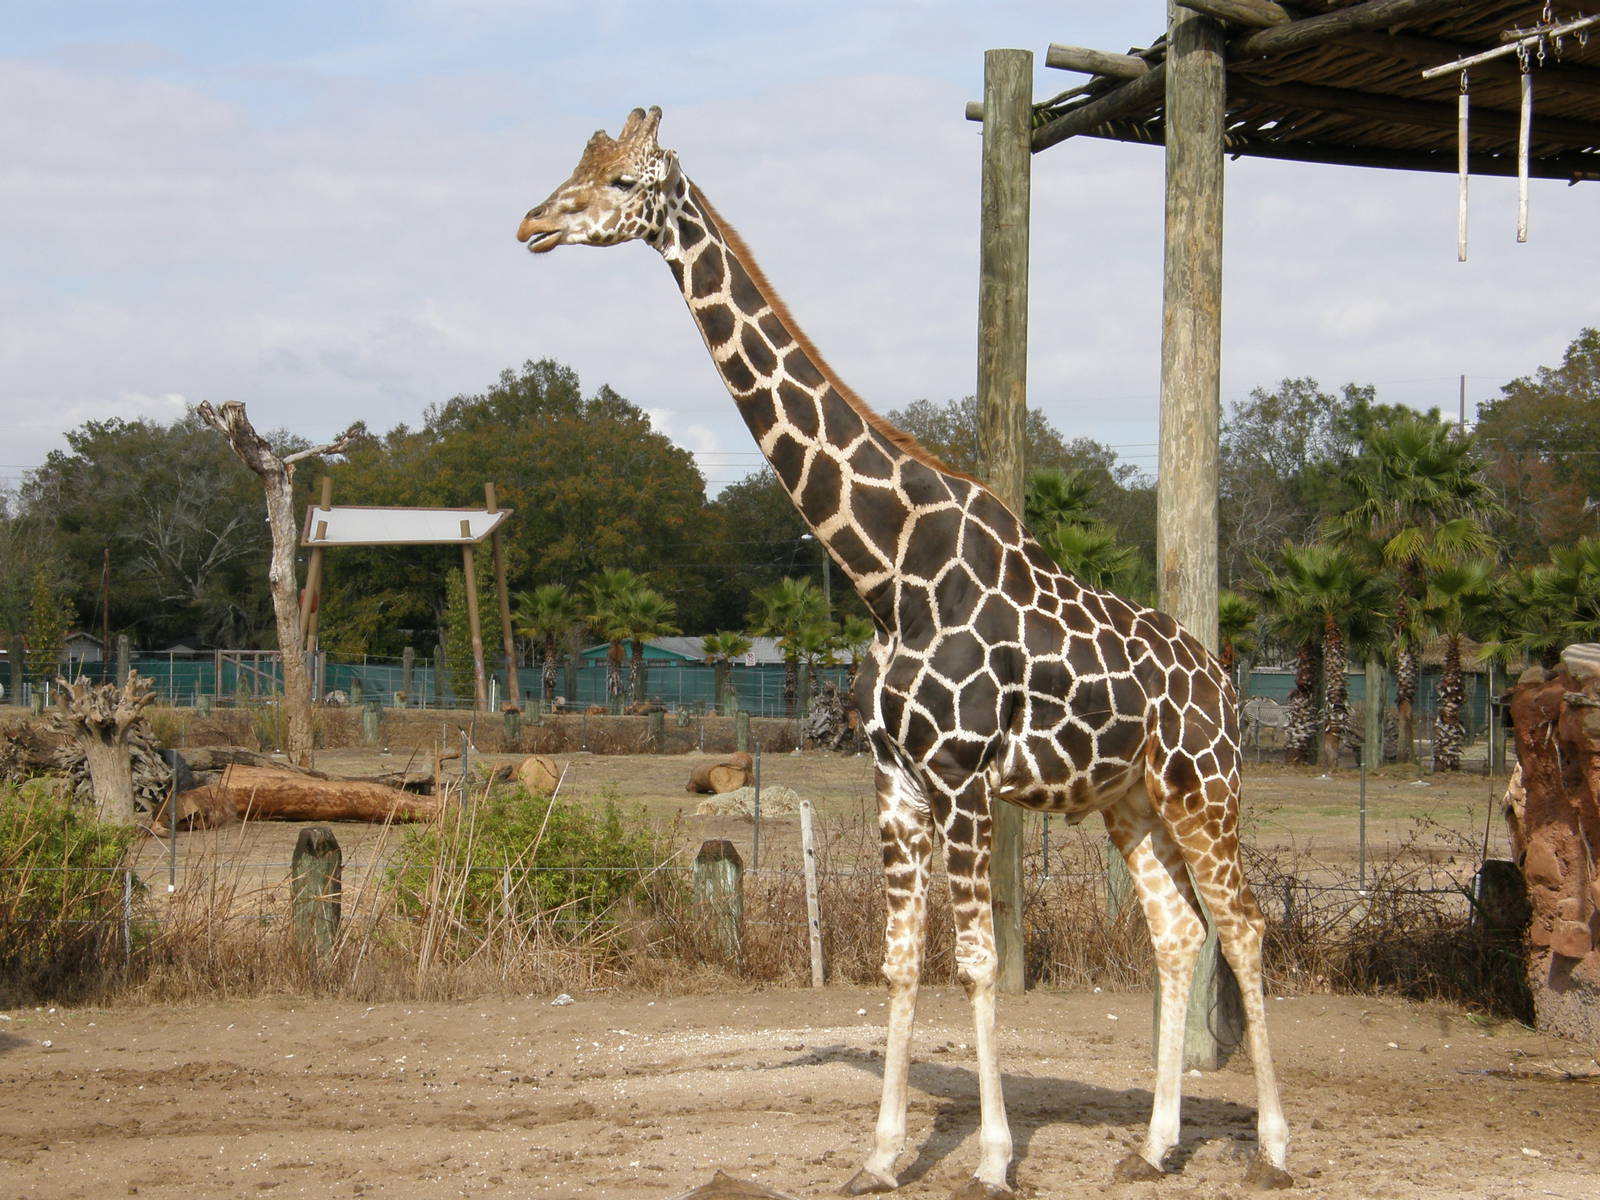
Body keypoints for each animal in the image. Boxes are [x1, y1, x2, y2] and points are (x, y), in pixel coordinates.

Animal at [517, 107, 1292, 1199]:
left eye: (624, 179)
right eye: (575, 163)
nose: (534, 224)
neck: (888, 571)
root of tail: (1224, 683)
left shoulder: (964, 777)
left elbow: (973, 960)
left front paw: (994, 1158)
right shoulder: (894, 778)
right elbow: (895, 960)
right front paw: (881, 1156)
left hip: (1205, 790)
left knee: (1246, 925)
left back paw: (1272, 1146)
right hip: (1127, 800)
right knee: (1178, 934)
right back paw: (1153, 1147)